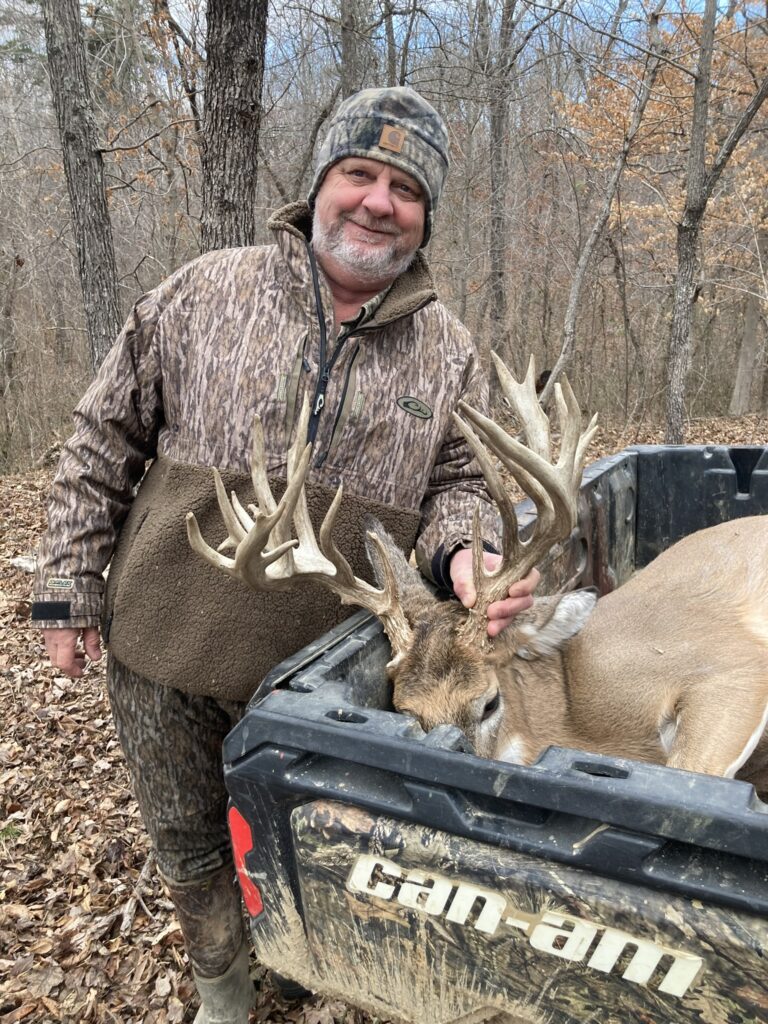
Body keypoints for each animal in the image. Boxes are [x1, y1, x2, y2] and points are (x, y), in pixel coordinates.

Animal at [185, 356, 768, 799]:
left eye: (489, 703)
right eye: (407, 713)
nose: (454, 762)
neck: (575, 720)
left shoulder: (731, 666)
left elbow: (690, 767)